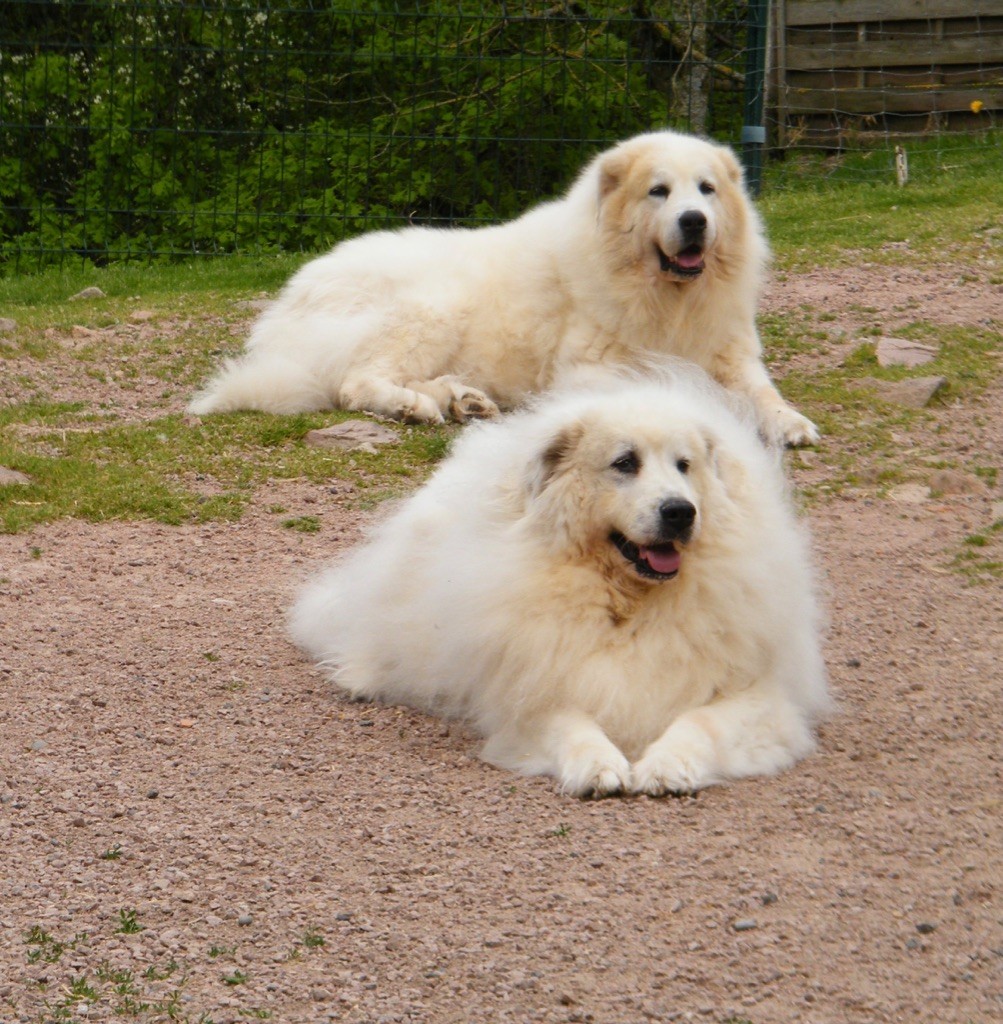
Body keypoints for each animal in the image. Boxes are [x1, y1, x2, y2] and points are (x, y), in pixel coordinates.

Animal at [290, 370, 831, 798]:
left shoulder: (758, 697)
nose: (680, 511)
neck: (629, 603)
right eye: (625, 463)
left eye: (685, 466)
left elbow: (701, 722)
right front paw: (598, 765)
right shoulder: (530, 689)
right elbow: (570, 723)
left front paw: (666, 764)